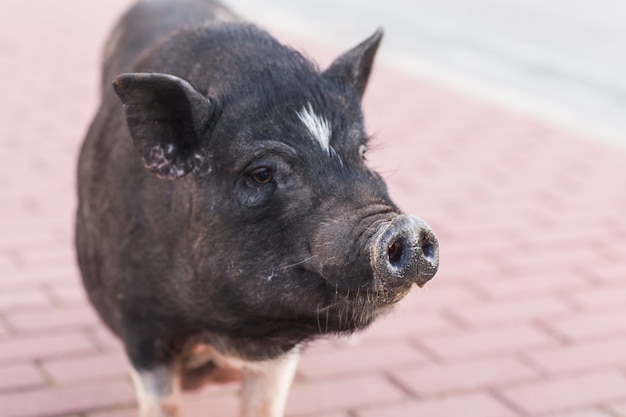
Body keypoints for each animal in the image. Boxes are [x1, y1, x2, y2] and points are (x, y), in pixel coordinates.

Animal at [75, 0, 436, 416]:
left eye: (361, 153)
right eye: (261, 173)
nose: (407, 227)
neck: (226, 331)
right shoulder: (141, 328)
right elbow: (164, 403)